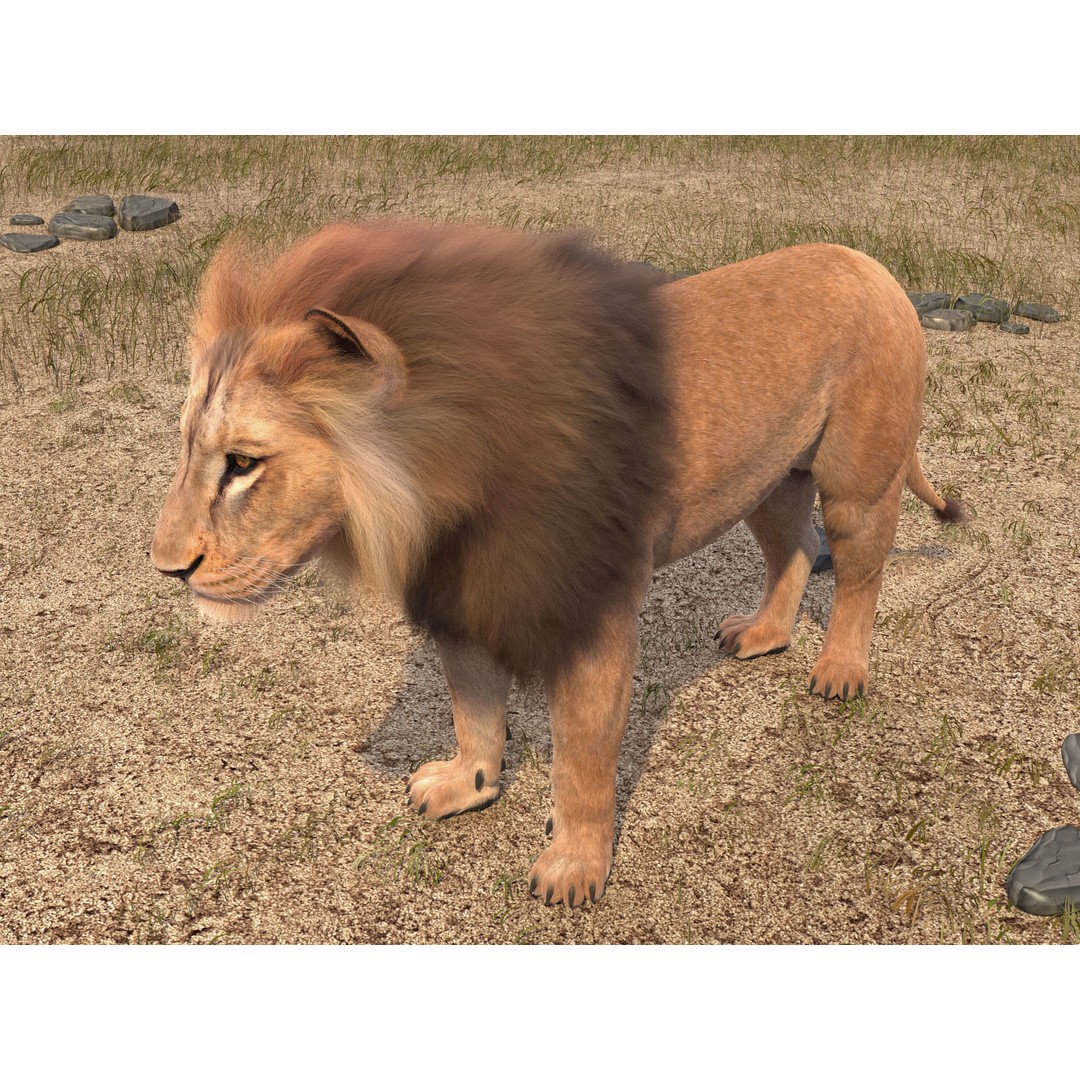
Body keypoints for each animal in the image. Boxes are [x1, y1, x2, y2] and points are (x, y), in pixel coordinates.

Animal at [151, 221, 963, 908]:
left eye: (244, 464)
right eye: (186, 447)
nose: (166, 568)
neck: (445, 490)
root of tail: (869, 262)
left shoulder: (590, 613)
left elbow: (582, 756)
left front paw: (573, 869)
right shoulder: (463, 596)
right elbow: (474, 709)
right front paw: (468, 786)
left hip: (858, 479)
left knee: (860, 574)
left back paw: (840, 671)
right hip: (768, 479)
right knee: (791, 547)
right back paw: (764, 635)